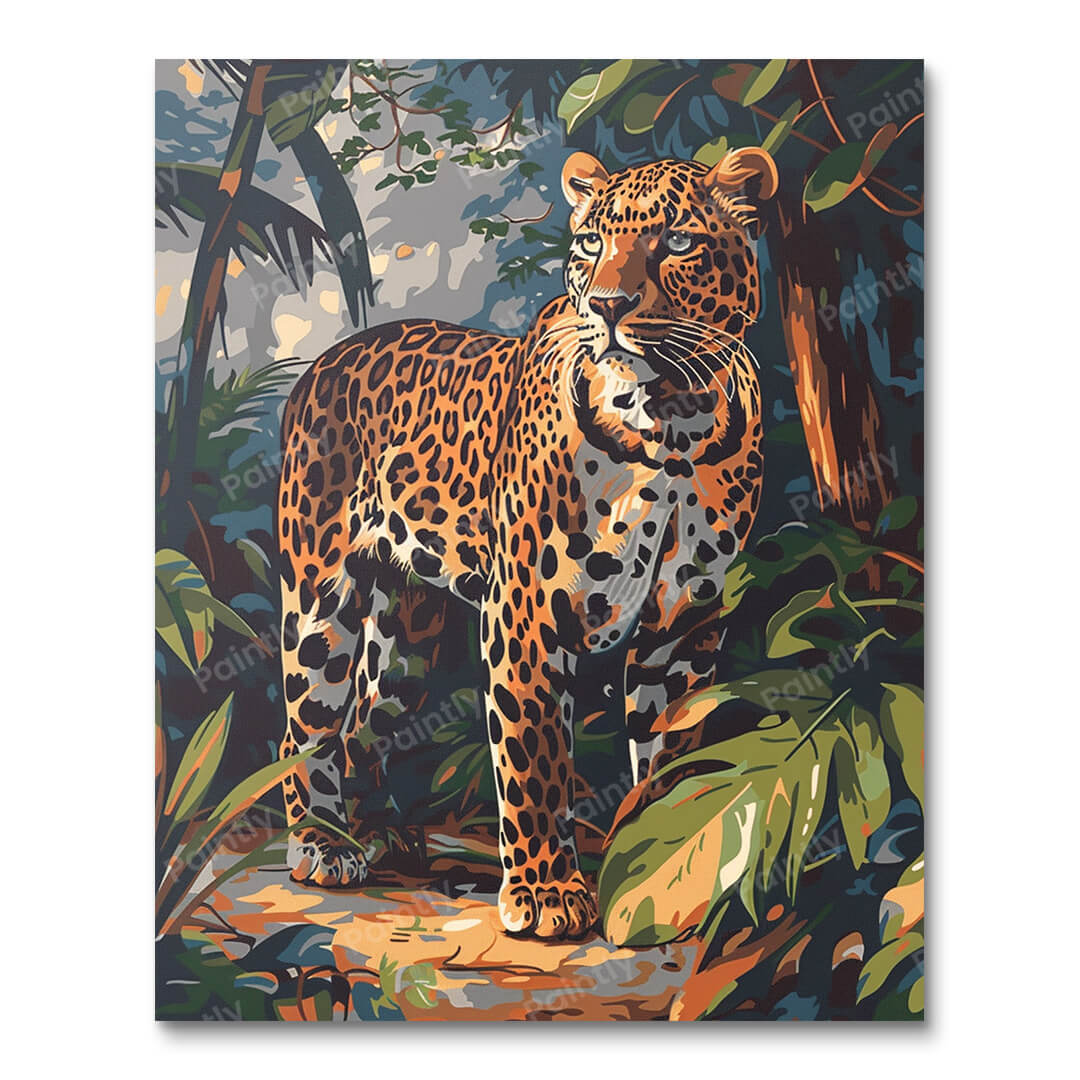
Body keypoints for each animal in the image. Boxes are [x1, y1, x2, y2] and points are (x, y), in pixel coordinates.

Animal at [276, 146, 778, 940]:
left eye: (677, 241)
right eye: (590, 244)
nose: (608, 306)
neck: (671, 421)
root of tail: (329, 360)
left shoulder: (685, 624)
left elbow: (671, 748)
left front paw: (657, 862)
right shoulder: (527, 611)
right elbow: (533, 754)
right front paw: (545, 894)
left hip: (408, 642)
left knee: (365, 720)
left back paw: (387, 837)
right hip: (321, 599)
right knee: (306, 727)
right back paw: (323, 844)